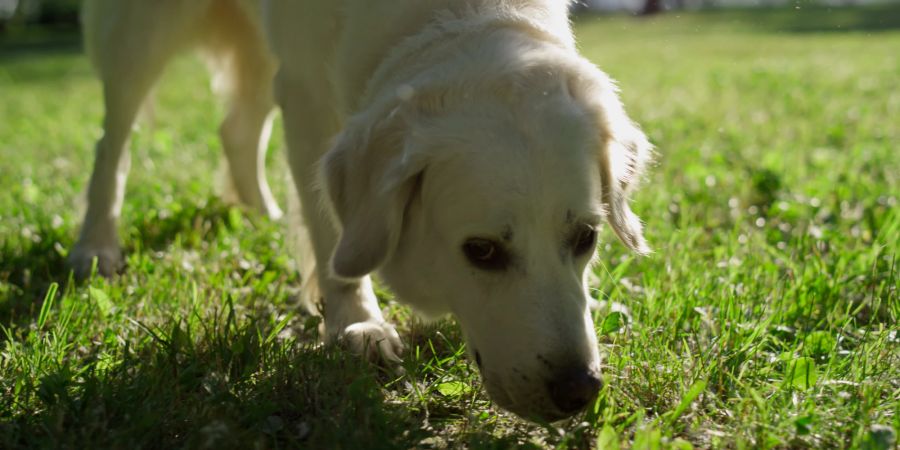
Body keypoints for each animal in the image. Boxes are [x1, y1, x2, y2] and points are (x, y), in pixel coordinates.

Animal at [74, 0, 652, 422]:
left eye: (585, 239)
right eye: (482, 252)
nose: (581, 390)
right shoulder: (305, 92)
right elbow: (329, 231)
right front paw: (356, 323)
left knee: (236, 128)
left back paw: (263, 216)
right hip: (139, 34)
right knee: (111, 143)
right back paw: (96, 246)